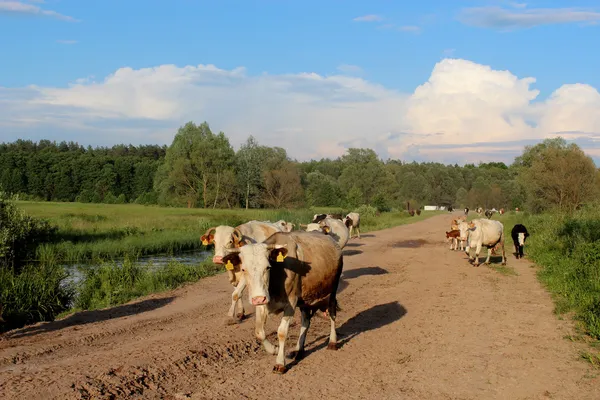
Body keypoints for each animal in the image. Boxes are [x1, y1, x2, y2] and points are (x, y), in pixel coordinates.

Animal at [220, 230, 344, 374]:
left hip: (333, 289)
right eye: (244, 269)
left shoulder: (291, 302)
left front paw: (280, 363)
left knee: (332, 313)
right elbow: (259, 332)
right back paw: (299, 350)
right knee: (305, 321)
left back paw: (332, 342)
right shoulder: (263, 303)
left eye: (268, 267)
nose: (258, 299)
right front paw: (274, 349)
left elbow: (282, 332)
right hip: (305, 299)